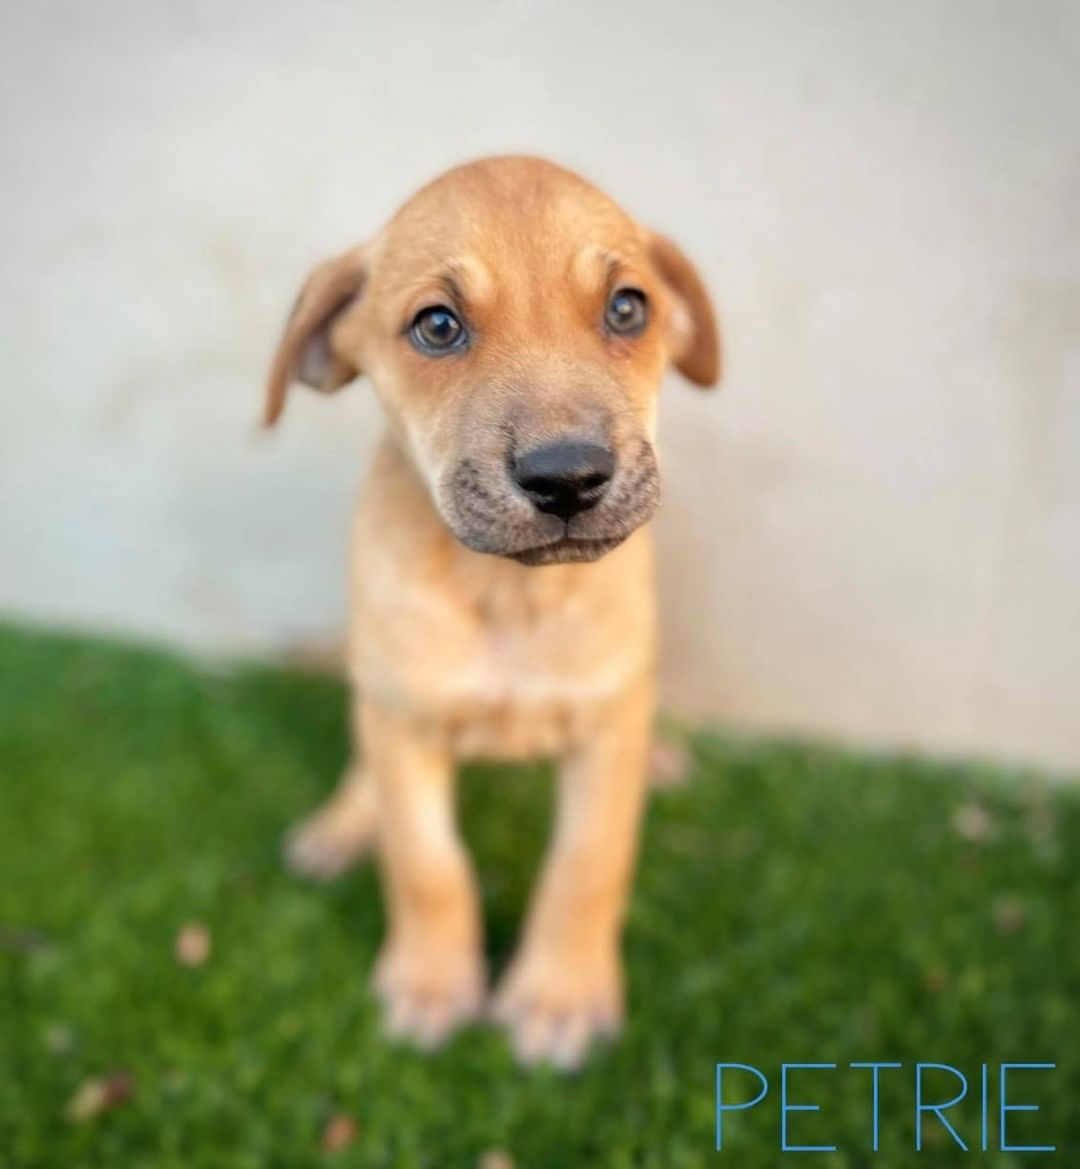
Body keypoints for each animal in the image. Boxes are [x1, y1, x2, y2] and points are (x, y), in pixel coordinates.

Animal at [264, 155, 715, 1070]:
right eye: (438, 326)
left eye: (628, 307)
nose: (568, 478)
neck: (510, 594)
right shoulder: (404, 723)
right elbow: (426, 865)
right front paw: (432, 984)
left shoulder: (604, 731)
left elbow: (587, 864)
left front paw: (557, 996)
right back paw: (342, 824)